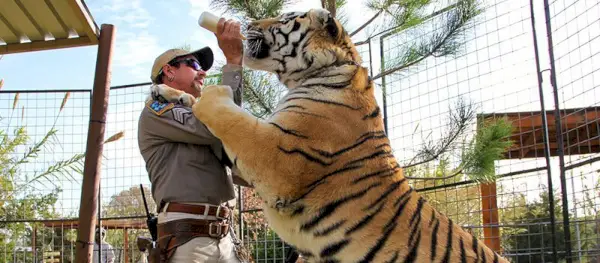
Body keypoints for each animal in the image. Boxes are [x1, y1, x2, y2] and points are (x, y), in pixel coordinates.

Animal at [151, 8, 510, 263]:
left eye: (283, 18)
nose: (248, 22)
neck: (316, 72)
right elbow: (203, 109)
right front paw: (165, 91)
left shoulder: (277, 156)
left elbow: (229, 115)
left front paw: (210, 93)